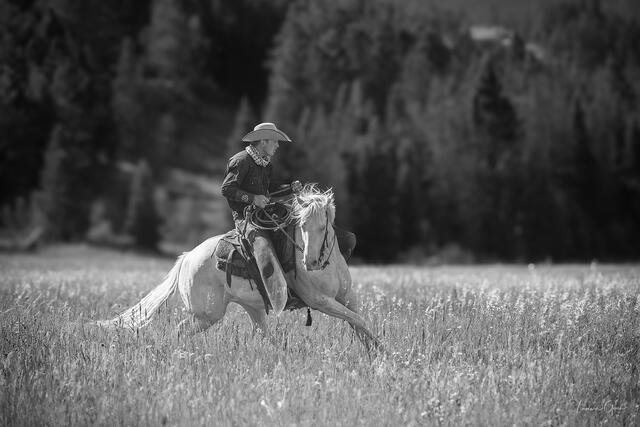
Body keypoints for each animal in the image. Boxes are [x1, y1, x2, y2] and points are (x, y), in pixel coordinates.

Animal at [97, 185, 381, 352]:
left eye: (323, 226)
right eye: (301, 225)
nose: (309, 263)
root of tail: (187, 259)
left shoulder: (347, 296)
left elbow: (358, 322)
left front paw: (377, 351)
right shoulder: (320, 301)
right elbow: (357, 320)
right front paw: (379, 352)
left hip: (252, 308)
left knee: (264, 334)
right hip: (207, 315)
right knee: (180, 330)